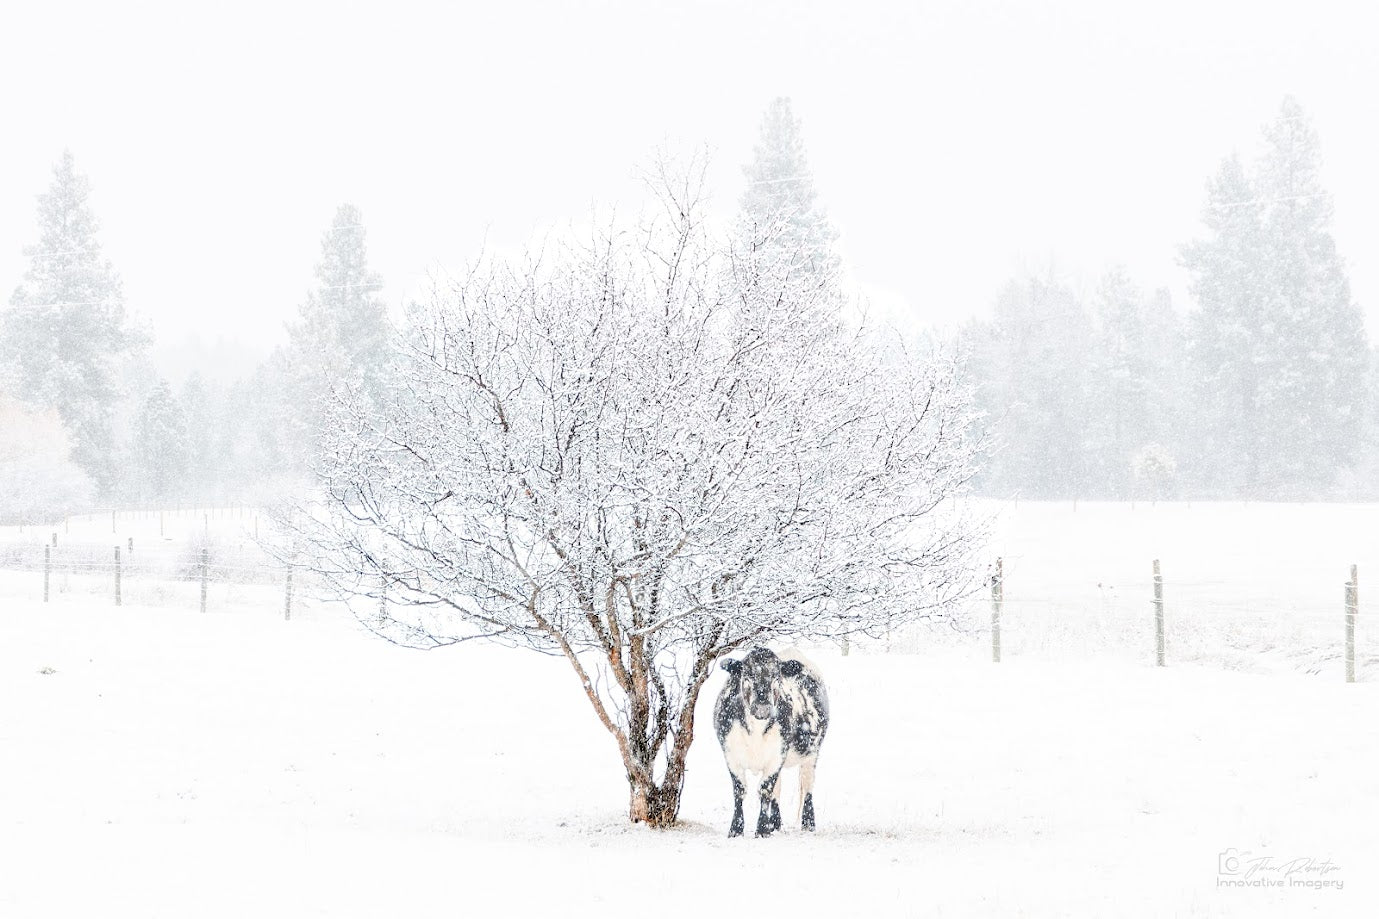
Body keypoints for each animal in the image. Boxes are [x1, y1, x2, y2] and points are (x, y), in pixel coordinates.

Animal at [711, 648, 827, 833]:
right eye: (748, 673)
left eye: (776, 676)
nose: (762, 707)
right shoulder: (731, 755)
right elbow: (740, 790)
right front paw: (736, 830)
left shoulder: (777, 756)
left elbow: (765, 789)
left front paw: (762, 830)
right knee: (778, 791)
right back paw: (776, 824)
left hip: (812, 753)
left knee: (808, 785)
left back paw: (808, 824)